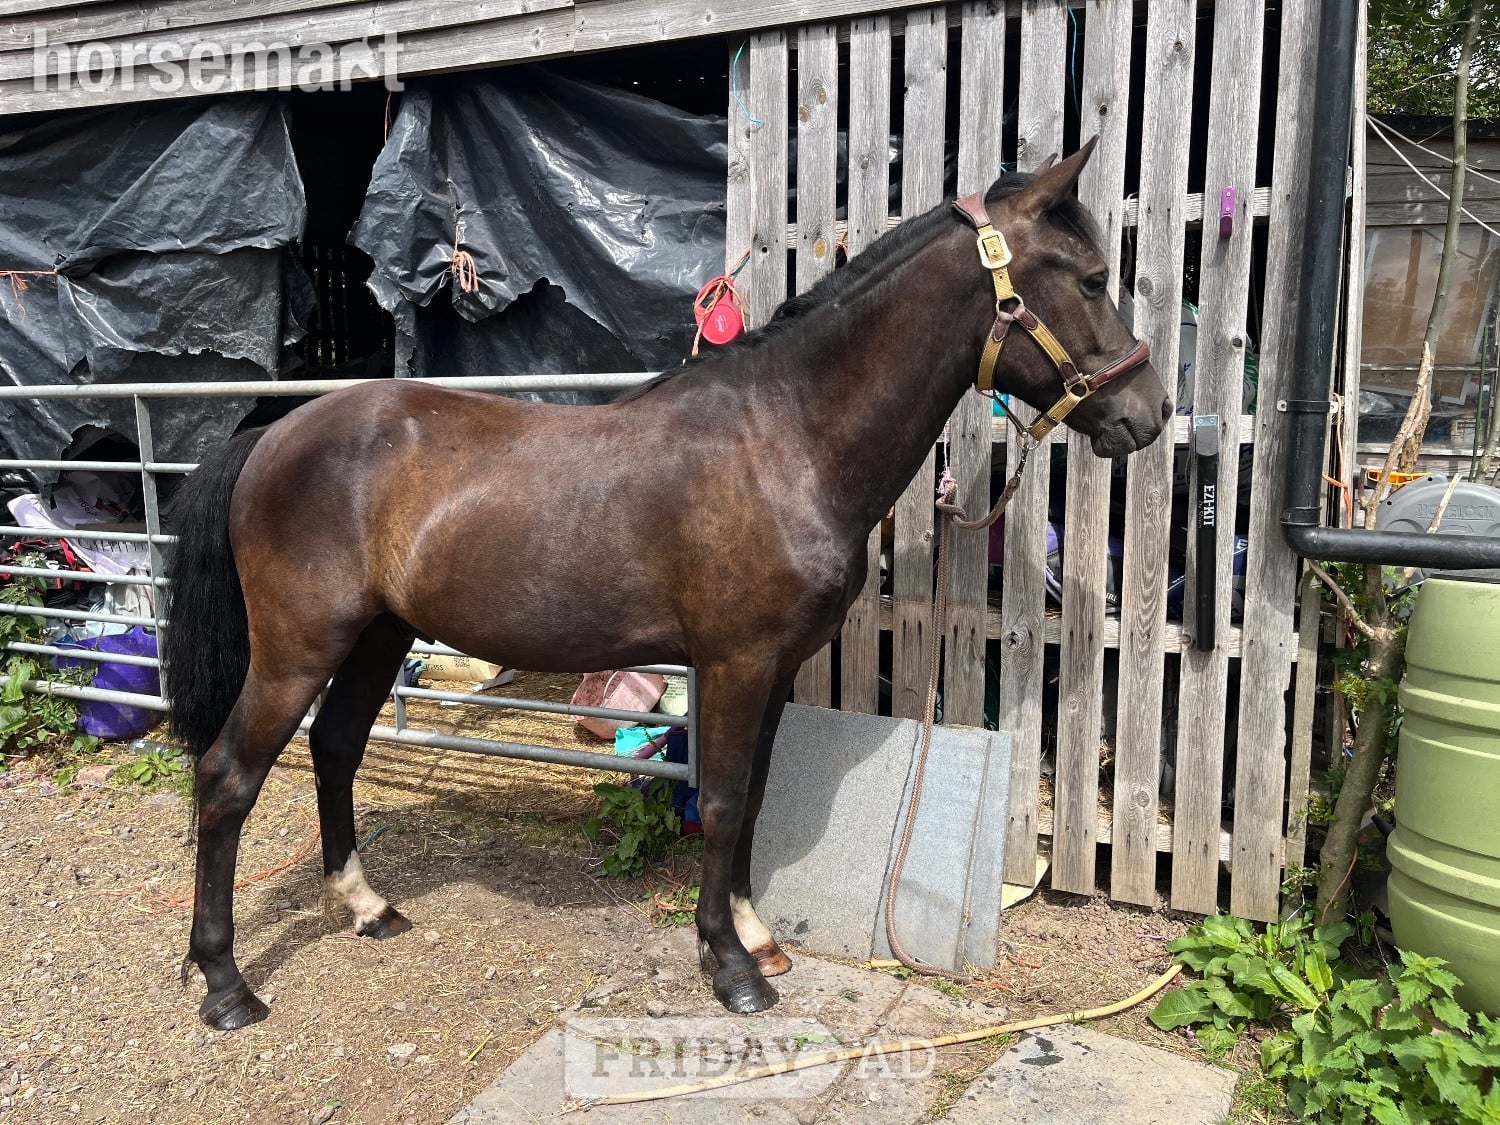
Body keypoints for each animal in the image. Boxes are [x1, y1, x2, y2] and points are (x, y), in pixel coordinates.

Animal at [163, 139, 1170, 1032]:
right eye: (1090, 278)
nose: (1149, 413)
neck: (784, 436)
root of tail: (274, 435)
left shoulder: (774, 669)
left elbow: (752, 798)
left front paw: (757, 936)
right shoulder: (733, 663)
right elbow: (720, 803)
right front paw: (730, 967)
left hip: (377, 635)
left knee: (334, 746)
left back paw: (365, 906)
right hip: (297, 648)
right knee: (227, 776)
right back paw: (225, 983)